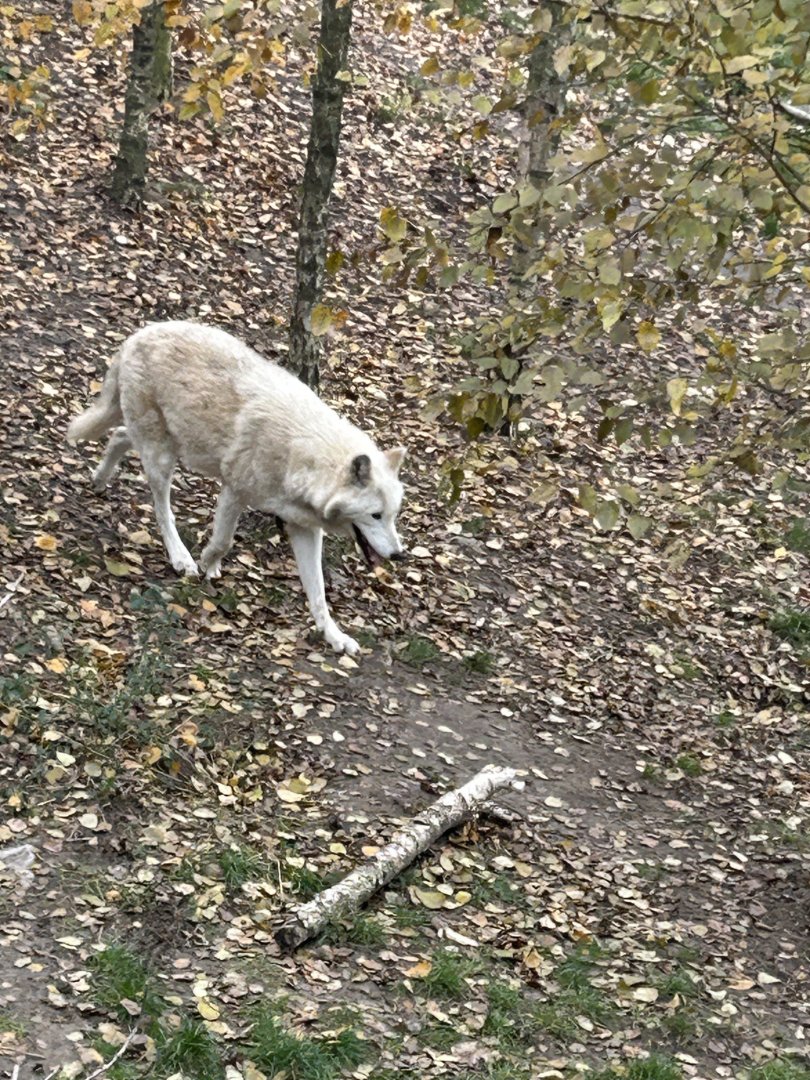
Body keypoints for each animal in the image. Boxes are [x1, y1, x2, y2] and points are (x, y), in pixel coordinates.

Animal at [67, 321, 406, 655]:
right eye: (375, 515)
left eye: (393, 516)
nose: (399, 555)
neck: (301, 456)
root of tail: (139, 334)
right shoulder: (234, 491)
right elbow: (224, 541)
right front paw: (206, 563)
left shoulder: (304, 528)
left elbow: (319, 593)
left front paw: (335, 637)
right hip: (164, 457)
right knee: (162, 510)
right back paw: (181, 557)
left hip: (172, 445)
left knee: (119, 435)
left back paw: (99, 479)